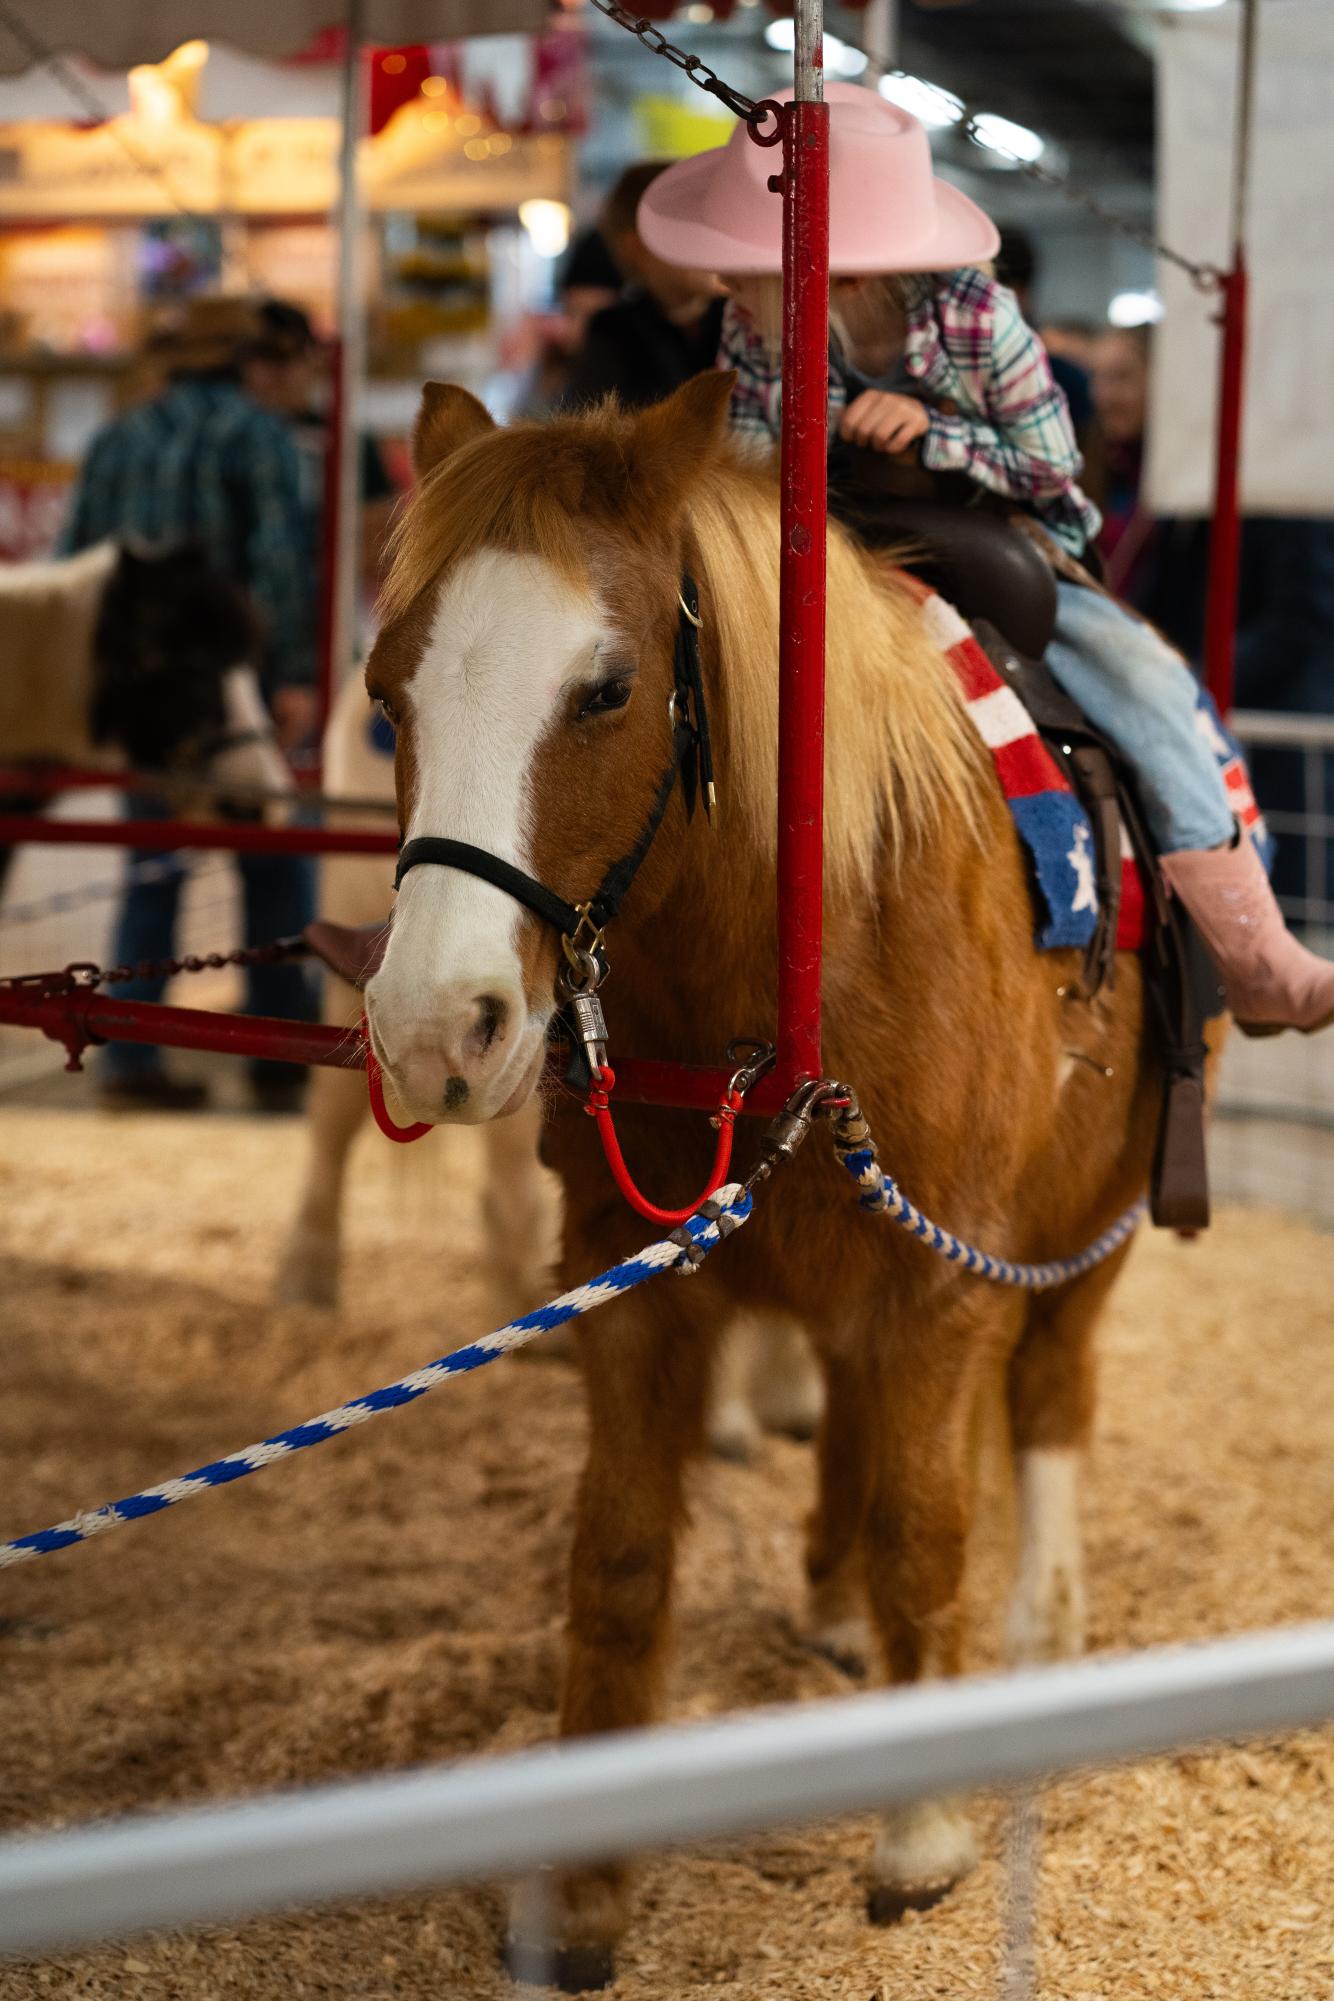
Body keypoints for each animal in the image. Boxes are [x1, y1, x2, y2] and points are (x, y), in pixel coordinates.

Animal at [362, 376, 1160, 1984]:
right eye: (385, 692)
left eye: (605, 691)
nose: (429, 1028)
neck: (797, 946)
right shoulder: (626, 1277)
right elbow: (615, 1563)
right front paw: (585, 1892)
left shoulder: (942, 1276)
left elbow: (926, 1532)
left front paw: (919, 1834)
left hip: (1084, 1240)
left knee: (1047, 1403)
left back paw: (1035, 1621)